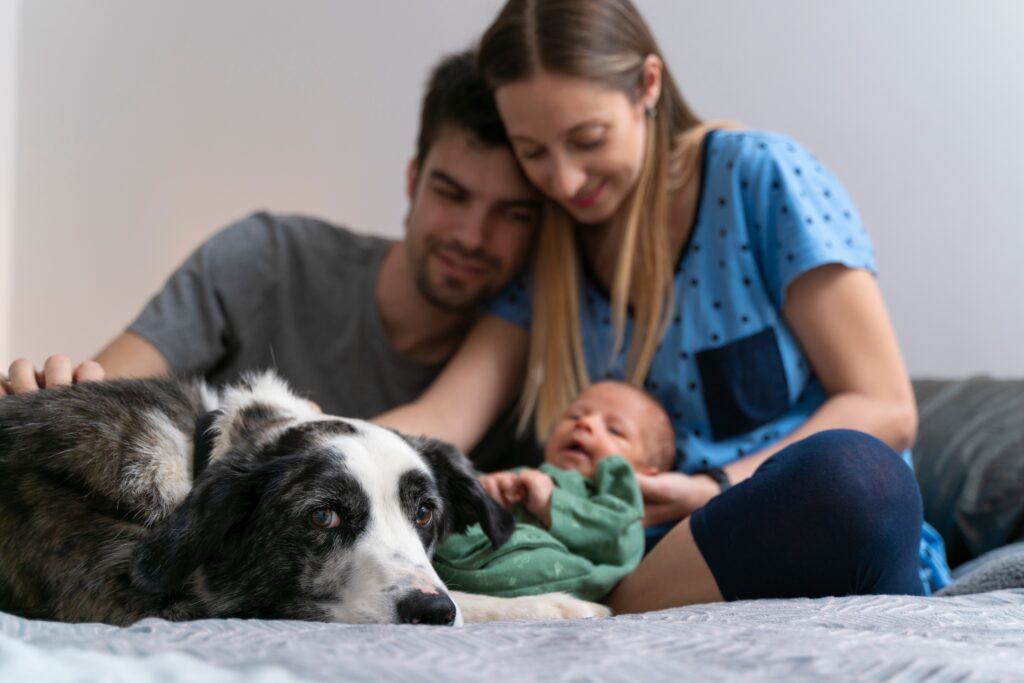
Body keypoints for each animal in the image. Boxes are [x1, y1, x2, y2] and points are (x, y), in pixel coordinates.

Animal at [0, 370, 606, 626]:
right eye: (322, 516)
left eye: (425, 513)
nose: (430, 613)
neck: (198, 458)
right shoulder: (136, 598)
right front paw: (552, 605)